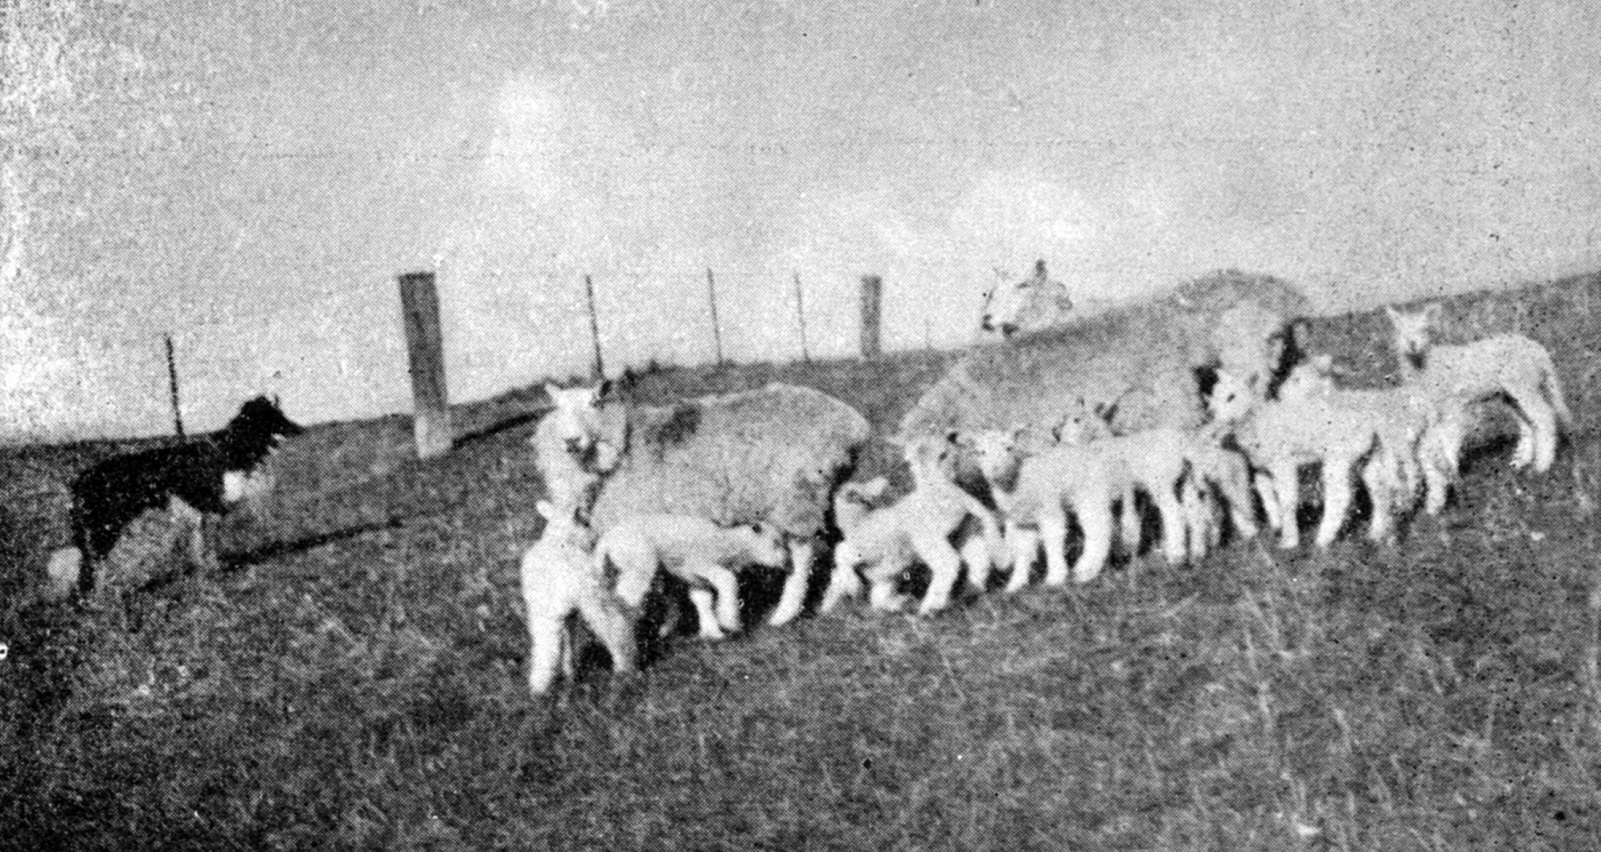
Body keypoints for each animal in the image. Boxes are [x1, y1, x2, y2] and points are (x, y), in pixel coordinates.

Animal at [515, 496, 633, 695]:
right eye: (586, 522)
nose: (595, 537)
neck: (562, 538)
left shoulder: (560, 613)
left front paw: (568, 673)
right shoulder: (567, 613)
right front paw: (570, 673)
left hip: (547, 612)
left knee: (546, 646)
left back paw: (540, 687)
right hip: (592, 597)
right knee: (613, 627)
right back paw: (624, 667)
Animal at [595, 512, 787, 640]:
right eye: (775, 543)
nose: (786, 562)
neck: (728, 545)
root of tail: (606, 541)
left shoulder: (693, 578)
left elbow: (703, 601)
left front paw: (713, 632)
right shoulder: (699, 563)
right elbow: (727, 580)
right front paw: (729, 621)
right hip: (639, 566)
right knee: (625, 598)